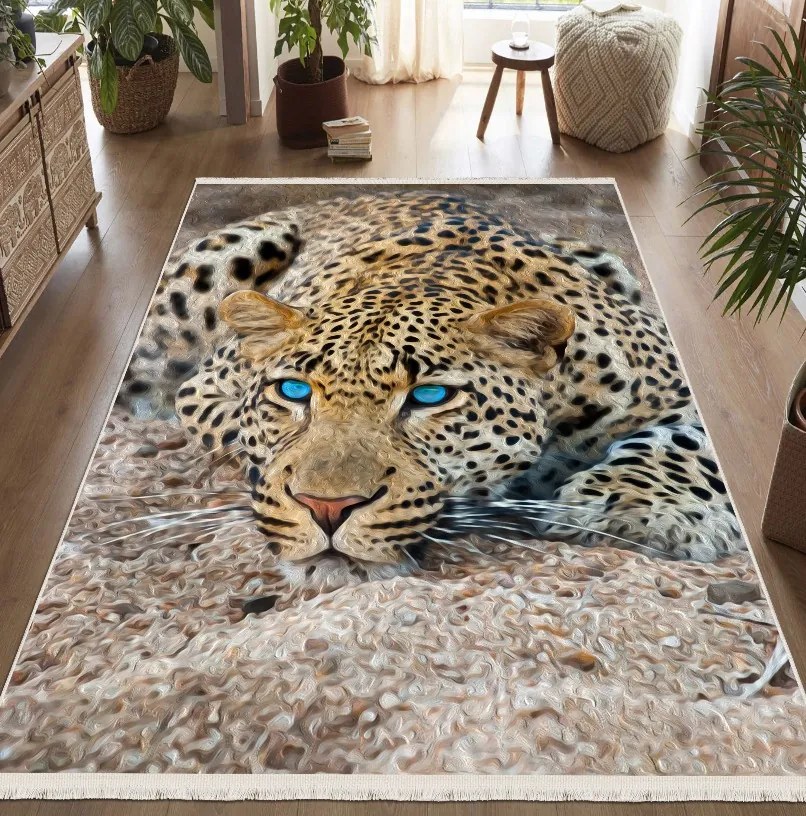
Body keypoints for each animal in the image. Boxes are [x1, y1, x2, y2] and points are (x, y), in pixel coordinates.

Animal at [118, 191, 742, 565]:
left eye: (430, 396)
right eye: (293, 392)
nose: (327, 510)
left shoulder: (670, 377)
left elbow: (694, 442)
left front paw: (641, 510)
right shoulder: (204, 389)